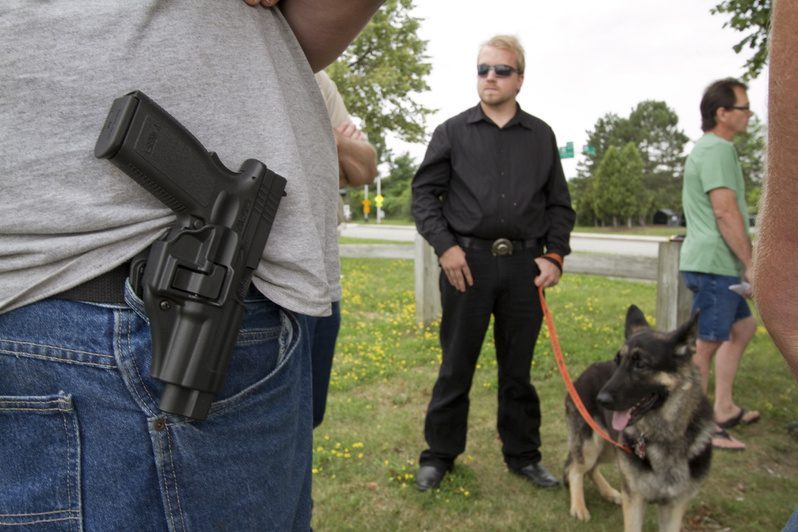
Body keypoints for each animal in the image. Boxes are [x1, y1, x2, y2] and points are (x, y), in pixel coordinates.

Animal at [564, 304, 716, 532]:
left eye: (641, 365)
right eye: (617, 362)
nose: (600, 399)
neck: (664, 435)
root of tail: (585, 372)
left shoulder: (674, 507)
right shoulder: (634, 500)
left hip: (610, 448)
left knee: (590, 469)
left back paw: (609, 492)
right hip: (591, 445)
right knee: (576, 469)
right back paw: (579, 507)